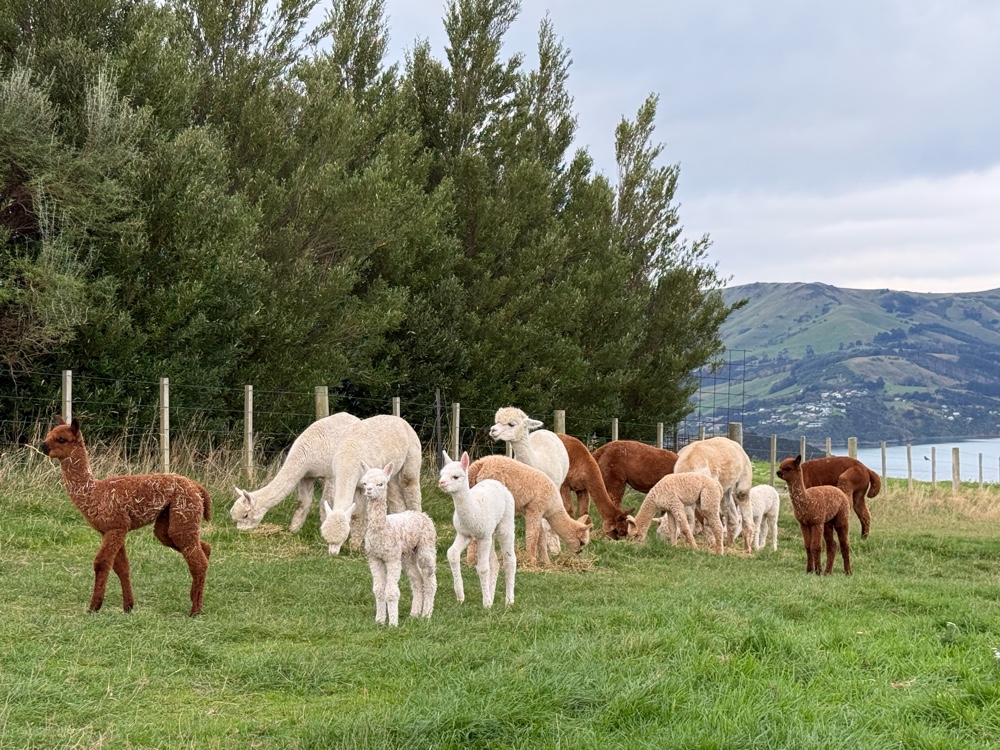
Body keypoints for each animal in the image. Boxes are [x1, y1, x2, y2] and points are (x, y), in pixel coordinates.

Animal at [41, 416, 212, 616]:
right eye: (48, 434)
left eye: (61, 439)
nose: (43, 446)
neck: (94, 492)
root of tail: (196, 486)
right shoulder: (114, 530)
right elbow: (122, 567)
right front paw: (128, 606)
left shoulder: (116, 526)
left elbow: (101, 563)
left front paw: (94, 607)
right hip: (168, 520)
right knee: (203, 547)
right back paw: (195, 596)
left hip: (184, 511)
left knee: (198, 561)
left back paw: (195, 610)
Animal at [230, 412, 361, 532]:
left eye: (245, 515)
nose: (240, 530)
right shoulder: (306, 475)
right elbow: (303, 502)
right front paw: (293, 530)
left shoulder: (330, 475)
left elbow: (325, 502)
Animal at [318, 415, 423, 555]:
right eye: (325, 536)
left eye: (343, 537)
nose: (333, 553)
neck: (348, 459)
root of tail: (399, 419)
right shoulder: (352, 482)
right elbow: (356, 514)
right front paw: (355, 544)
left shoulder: (366, 483)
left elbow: (360, 514)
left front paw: (358, 544)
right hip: (391, 474)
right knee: (396, 498)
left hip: (412, 454)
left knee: (410, 485)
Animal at [349, 462, 436, 626]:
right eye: (365, 483)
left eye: (381, 484)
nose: (369, 490)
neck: (384, 530)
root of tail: (423, 515)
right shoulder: (375, 558)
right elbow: (378, 590)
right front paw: (379, 620)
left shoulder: (392, 558)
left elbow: (391, 592)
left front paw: (393, 623)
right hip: (408, 554)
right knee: (417, 580)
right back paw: (415, 613)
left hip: (426, 547)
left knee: (429, 579)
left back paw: (427, 614)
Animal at [438, 451, 516, 607]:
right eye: (441, 474)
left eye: (456, 476)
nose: (441, 483)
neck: (473, 512)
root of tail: (497, 483)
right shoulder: (464, 534)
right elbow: (452, 554)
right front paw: (460, 596)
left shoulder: (483, 536)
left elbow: (483, 568)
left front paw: (486, 604)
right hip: (490, 532)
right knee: (495, 563)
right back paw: (491, 596)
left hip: (506, 522)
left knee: (509, 560)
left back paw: (509, 601)